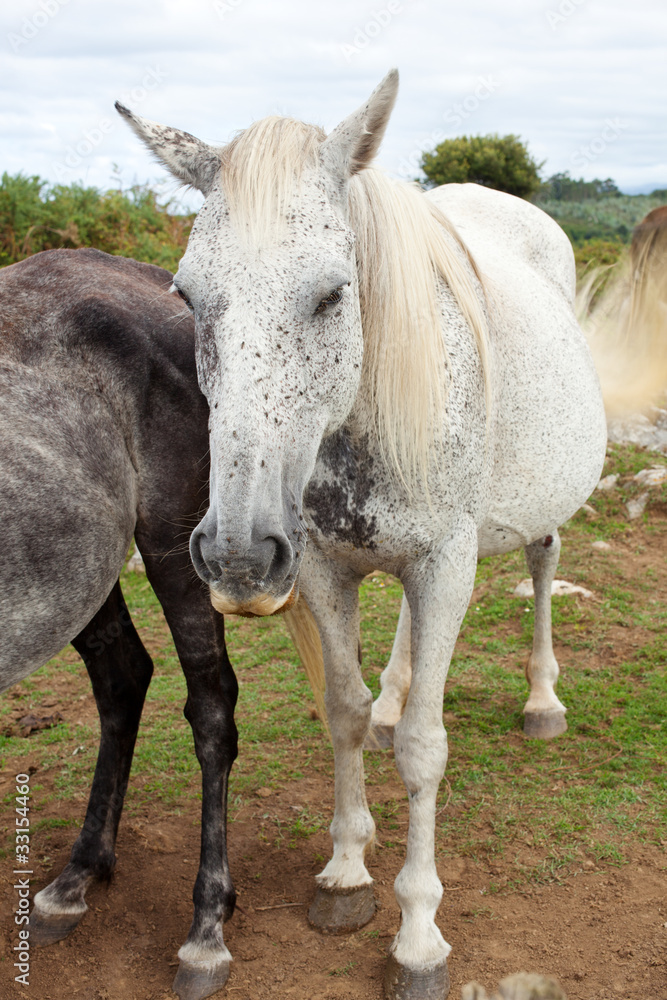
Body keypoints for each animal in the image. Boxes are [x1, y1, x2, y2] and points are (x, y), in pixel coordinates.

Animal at [0, 248, 237, 1000]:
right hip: (81, 571)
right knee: (122, 676)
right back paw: (76, 878)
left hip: (173, 546)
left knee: (211, 707)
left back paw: (205, 929)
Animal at [117, 70, 609, 999]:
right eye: (188, 296)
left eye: (331, 293)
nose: (235, 556)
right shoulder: (318, 569)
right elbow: (341, 712)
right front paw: (346, 873)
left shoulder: (445, 564)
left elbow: (423, 748)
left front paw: (418, 936)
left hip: (535, 517)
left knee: (541, 567)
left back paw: (541, 700)